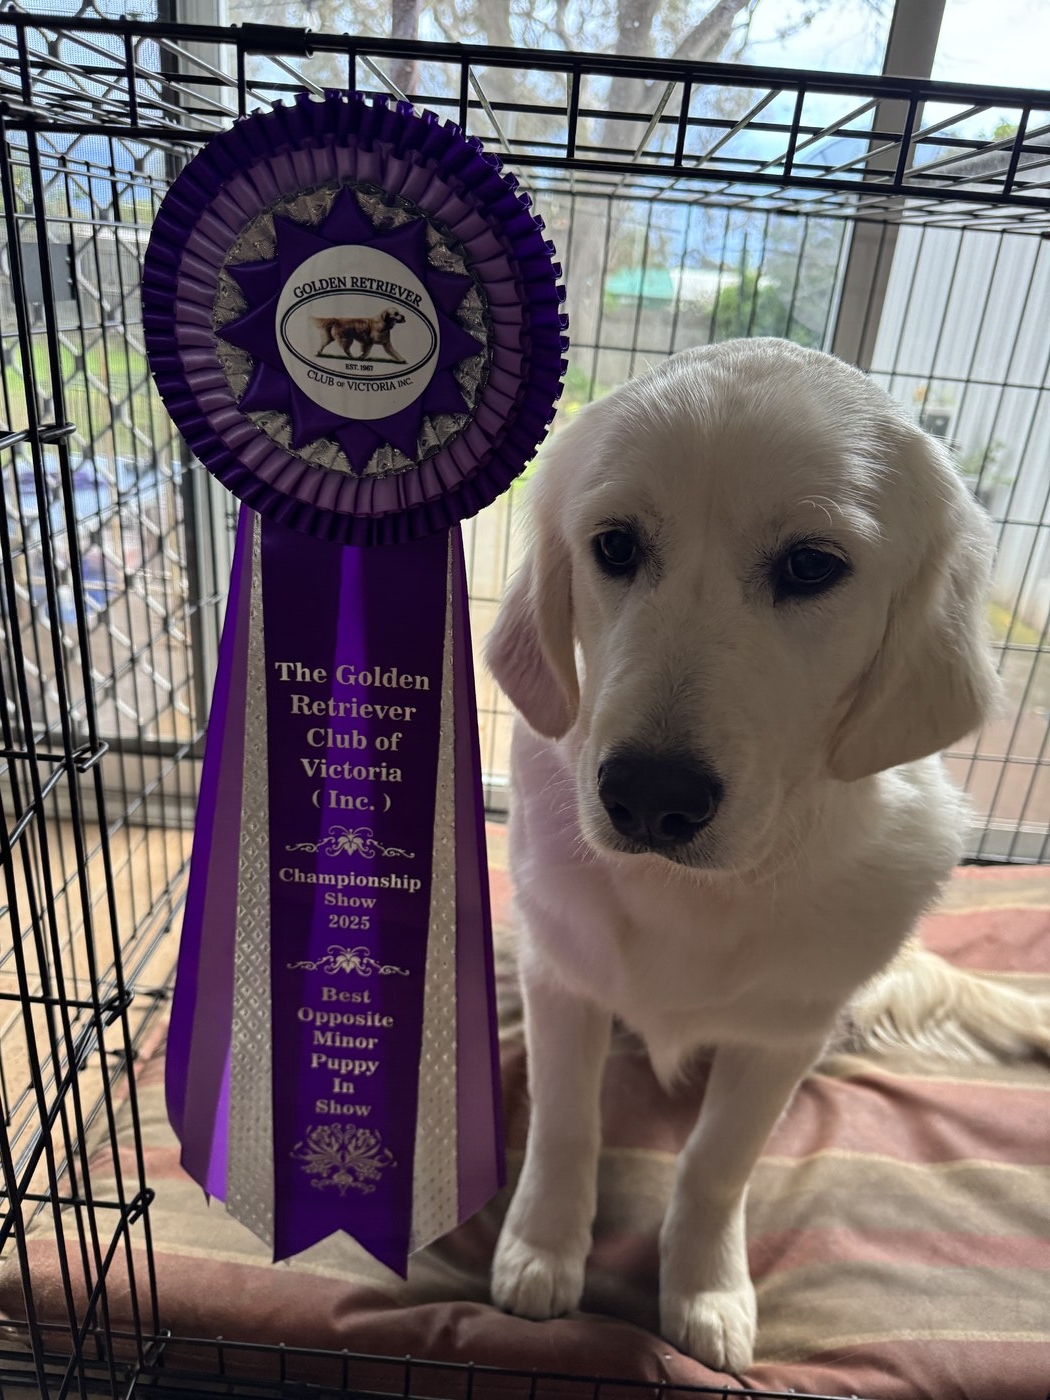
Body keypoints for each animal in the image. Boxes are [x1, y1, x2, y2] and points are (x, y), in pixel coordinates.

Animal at [486, 339, 1050, 1373]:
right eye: (615, 546)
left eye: (812, 565)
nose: (650, 797)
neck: (695, 896)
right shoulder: (561, 981)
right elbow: (565, 1124)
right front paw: (541, 1248)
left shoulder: (782, 1038)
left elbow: (716, 1164)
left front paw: (706, 1288)